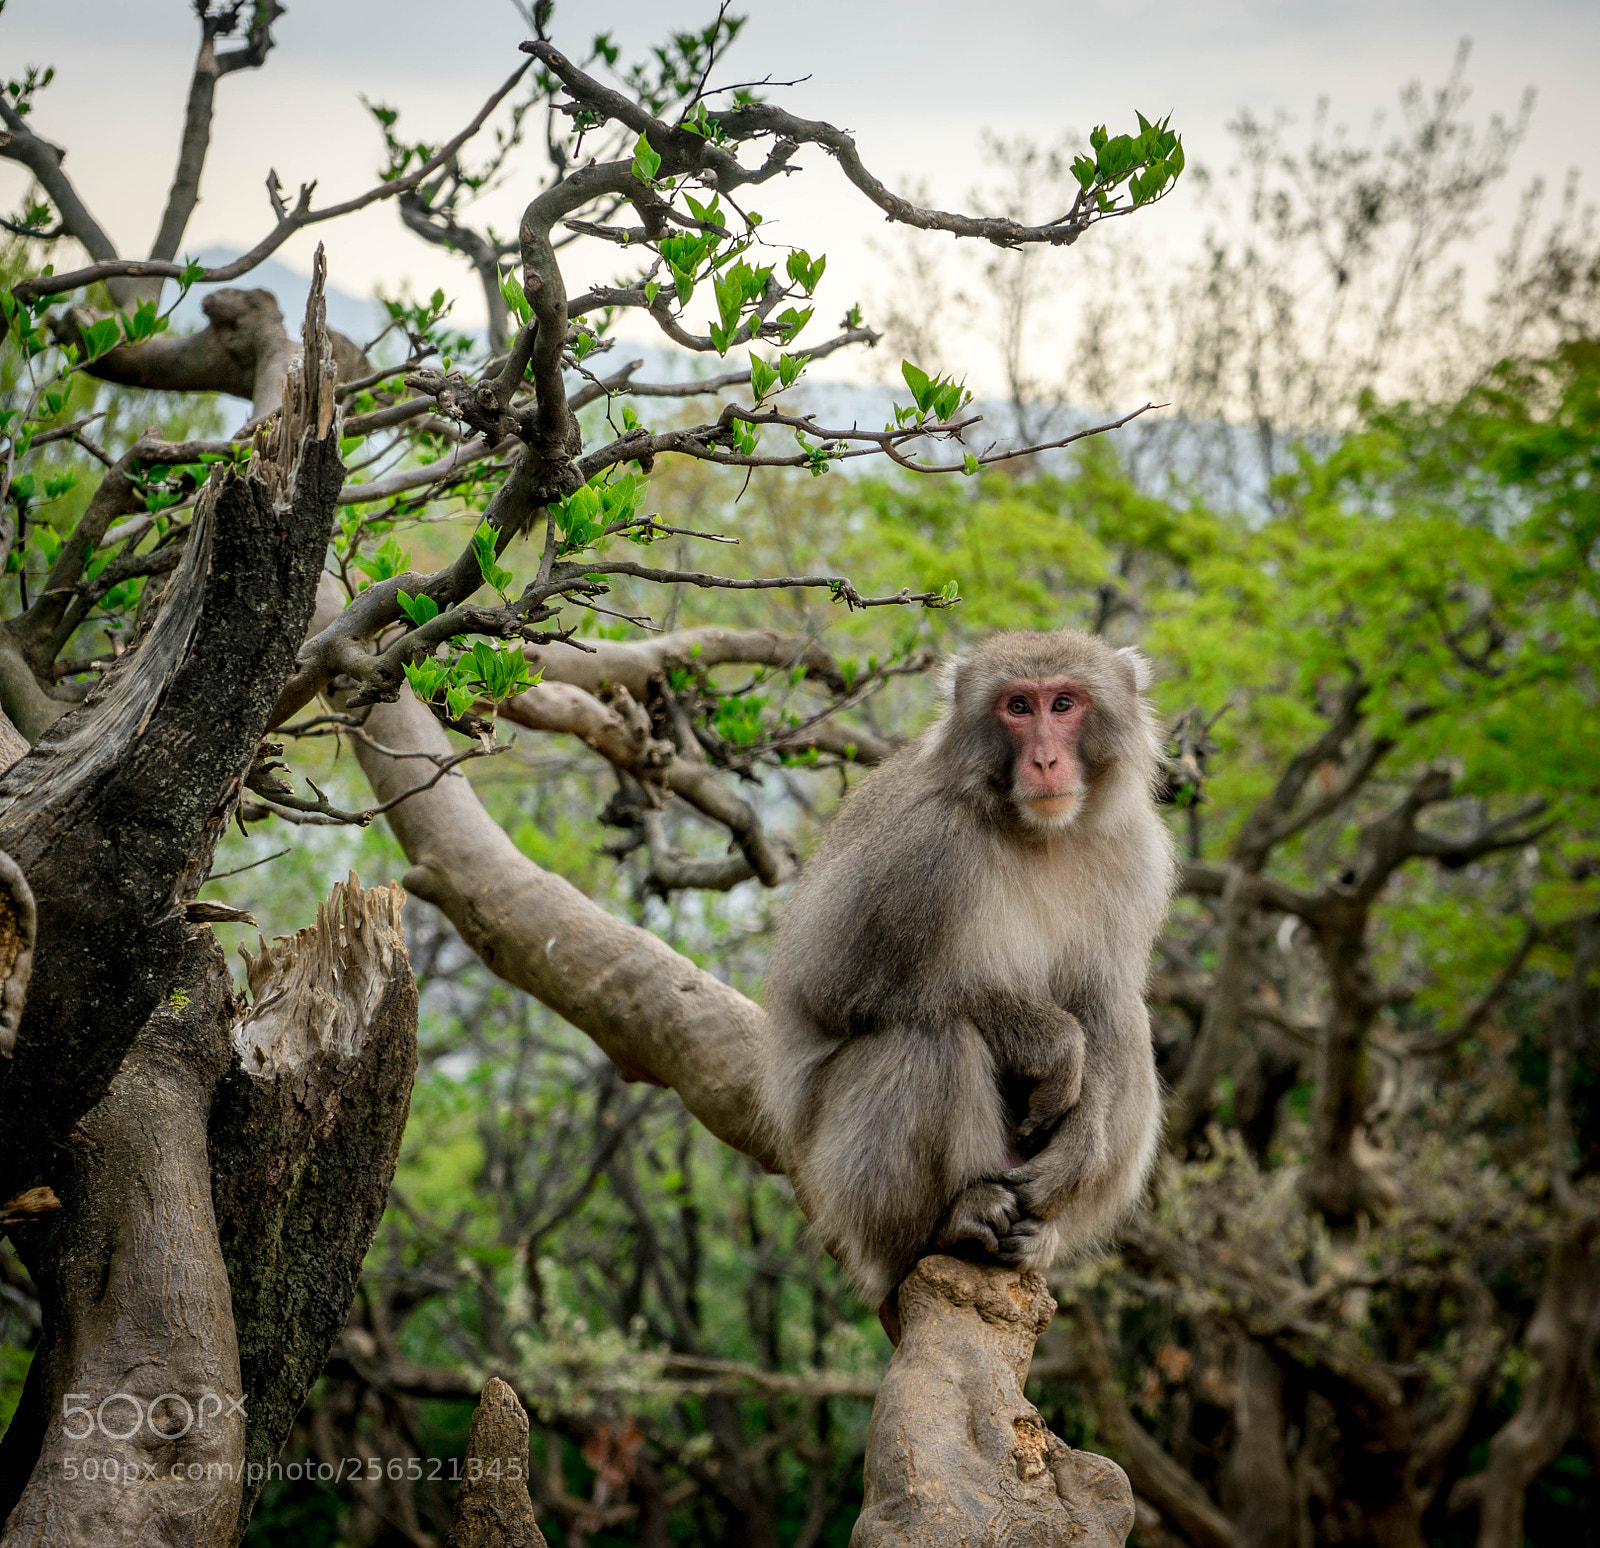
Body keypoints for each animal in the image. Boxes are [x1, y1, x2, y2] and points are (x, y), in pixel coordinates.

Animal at [759, 628, 1175, 1328]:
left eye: (1064, 703)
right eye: (1018, 707)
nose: (1044, 761)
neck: (1038, 834)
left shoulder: (1136, 853)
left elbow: (1104, 1000)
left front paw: (1080, 1141)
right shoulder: (922, 850)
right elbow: (831, 987)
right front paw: (1050, 1043)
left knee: (1128, 1023)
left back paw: (1041, 1234)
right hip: (837, 1189)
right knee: (929, 1037)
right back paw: (945, 1227)